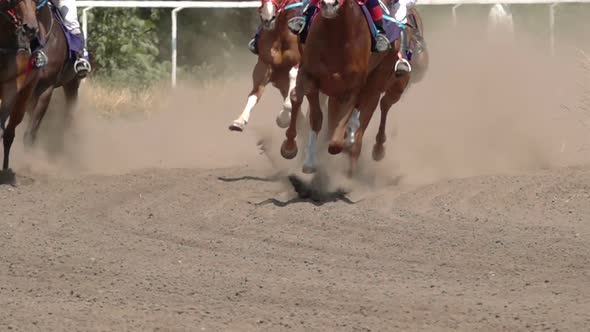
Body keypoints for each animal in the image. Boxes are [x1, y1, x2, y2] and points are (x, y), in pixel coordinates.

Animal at [229, 0, 308, 131]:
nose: (268, 17)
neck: (281, 35)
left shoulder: (298, 62)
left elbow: (293, 78)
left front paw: (283, 117)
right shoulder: (264, 65)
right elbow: (254, 94)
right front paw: (239, 121)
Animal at [282, 0, 412, 176]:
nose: (329, 5)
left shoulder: (352, 89)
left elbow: (336, 141)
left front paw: (340, 144)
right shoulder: (309, 76)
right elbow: (312, 114)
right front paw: (293, 150)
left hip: (377, 82)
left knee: (370, 114)